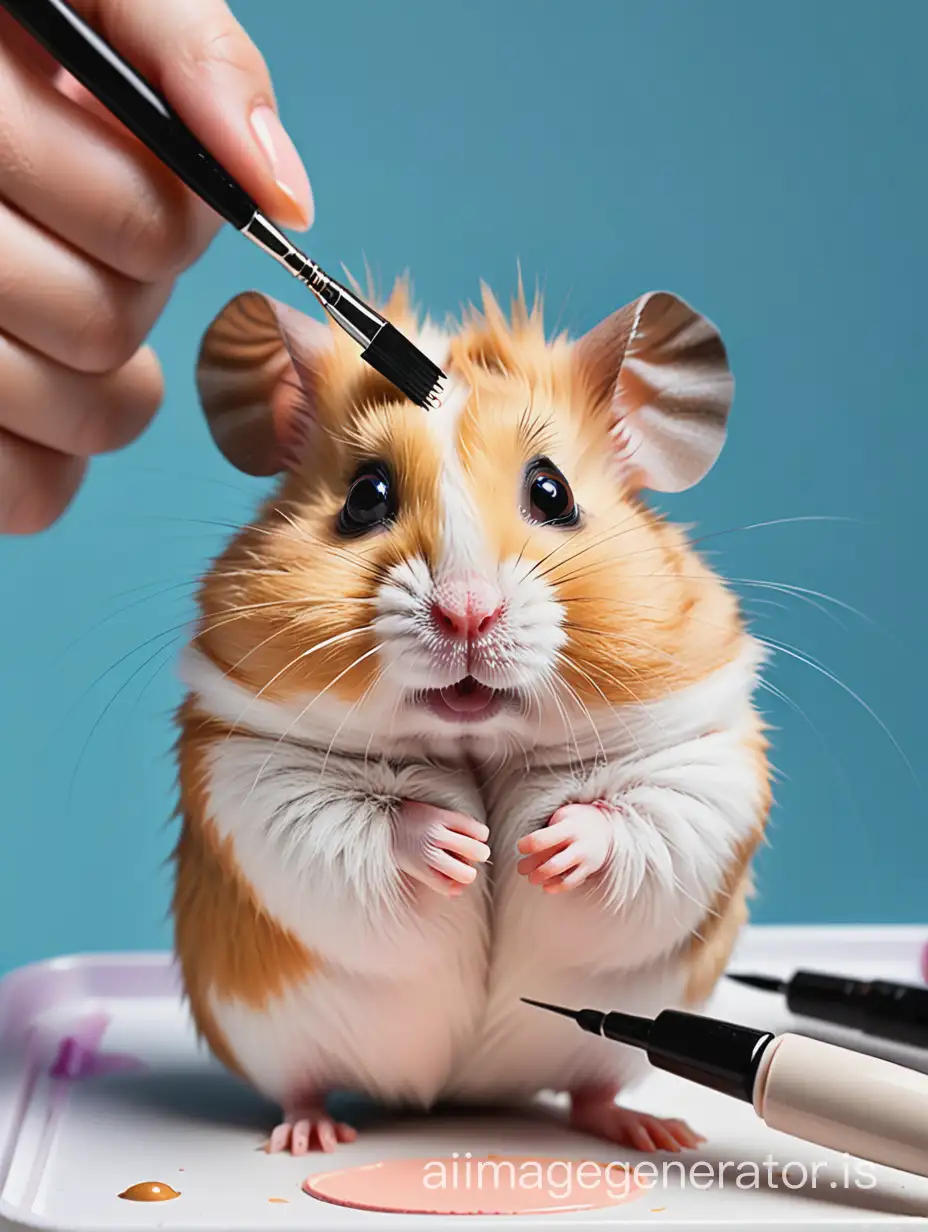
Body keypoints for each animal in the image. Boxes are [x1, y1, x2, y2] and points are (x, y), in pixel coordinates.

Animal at [173, 279, 769, 1153]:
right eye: (365, 497)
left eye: (553, 492)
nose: (466, 614)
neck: (480, 743)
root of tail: (452, 1097)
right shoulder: (258, 774)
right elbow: (355, 824)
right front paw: (465, 849)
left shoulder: (700, 761)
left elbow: (637, 820)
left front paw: (538, 849)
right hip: (274, 1041)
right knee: (299, 1085)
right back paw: (311, 1135)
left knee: (591, 1089)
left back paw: (653, 1131)